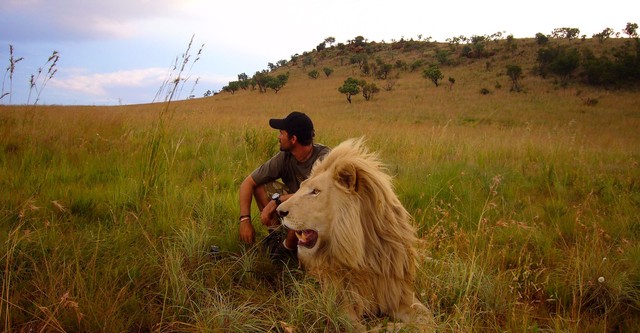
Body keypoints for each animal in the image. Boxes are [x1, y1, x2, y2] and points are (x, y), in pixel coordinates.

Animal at [278, 137, 432, 326]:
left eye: (315, 191)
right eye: (302, 187)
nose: (279, 211)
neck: (364, 256)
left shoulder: (398, 292)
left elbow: (428, 318)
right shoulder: (340, 305)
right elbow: (366, 328)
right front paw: (390, 325)